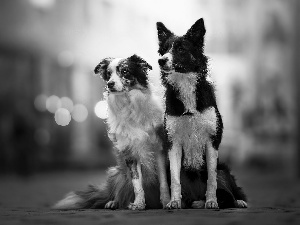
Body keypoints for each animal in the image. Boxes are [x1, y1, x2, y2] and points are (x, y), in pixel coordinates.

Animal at [53, 55, 171, 210]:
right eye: (109, 74)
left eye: (125, 71)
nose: (110, 84)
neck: (130, 105)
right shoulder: (130, 152)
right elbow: (137, 184)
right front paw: (138, 204)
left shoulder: (159, 149)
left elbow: (164, 182)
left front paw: (167, 201)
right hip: (116, 173)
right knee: (121, 191)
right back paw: (114, 202)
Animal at [156, 18, 247, 209]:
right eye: (164, 49)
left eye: (181, 49)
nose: (161, 60)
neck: (185, 85)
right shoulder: (173, 143)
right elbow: (175, 179)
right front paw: (174, 202)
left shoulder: (212, 141)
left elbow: (212, 179)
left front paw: (211, 201)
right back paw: (192, 202)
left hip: (224, 170)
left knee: (229, 193)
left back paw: (235, 201)